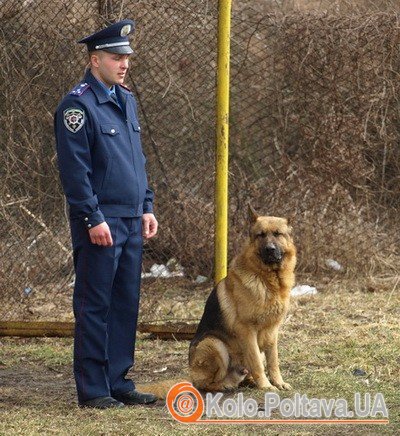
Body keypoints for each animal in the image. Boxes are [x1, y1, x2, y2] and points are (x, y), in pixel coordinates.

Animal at [188, 207, 296, 392]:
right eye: (261, 235)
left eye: (277, 234)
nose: (270, 249)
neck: (269, 280)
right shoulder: (247, 330)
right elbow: (257, 363)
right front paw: (266, 386)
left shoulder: (272, 331)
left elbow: (273, 361)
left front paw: (278, 382)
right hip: (214, 344)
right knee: (206, 383)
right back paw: (225, 385)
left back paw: (249, 381)